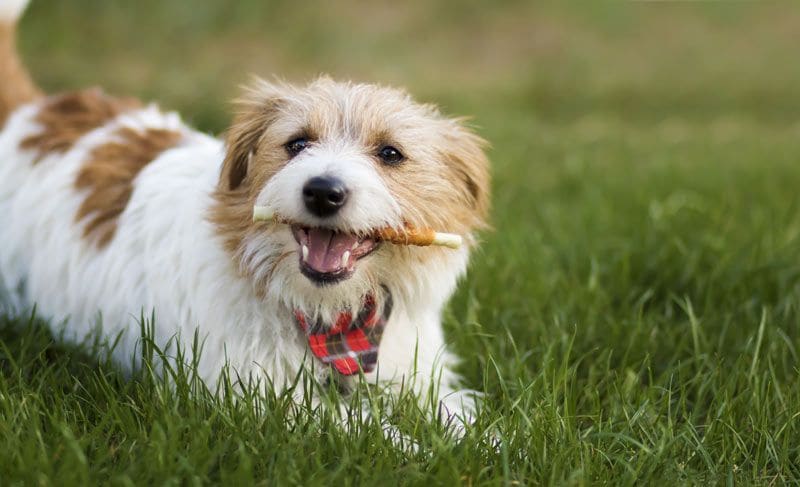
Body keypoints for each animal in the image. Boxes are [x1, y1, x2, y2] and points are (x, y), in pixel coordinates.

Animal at [0, 0, 488, 428]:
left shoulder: (419, 376)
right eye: (297, 143)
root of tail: (33, 112)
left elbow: (465, 422)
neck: (333, 319)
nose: (322, 192)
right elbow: (379, 435)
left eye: (390, 153)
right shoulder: (259, 398)